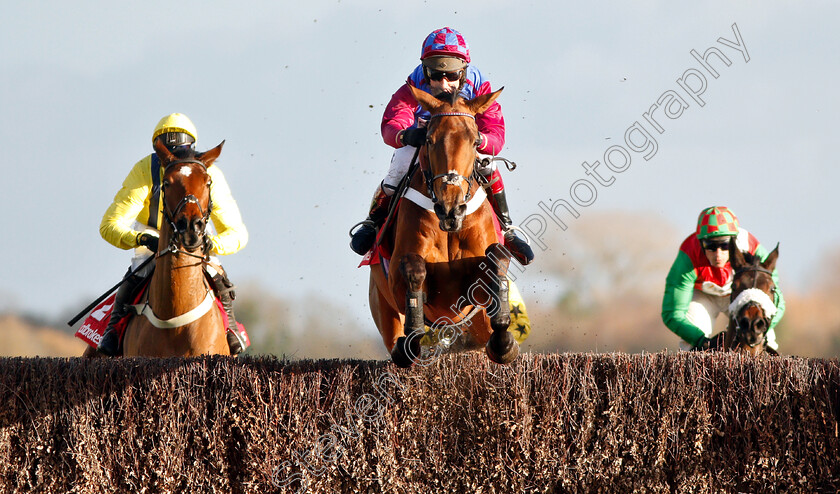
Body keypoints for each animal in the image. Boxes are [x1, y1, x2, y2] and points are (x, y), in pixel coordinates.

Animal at [370, 86, 520, 366]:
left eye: (475, 141)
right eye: (429, 140)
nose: (451, 208)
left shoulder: (474, 297)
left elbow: (496, 260)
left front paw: (505, 342)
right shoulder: (397, 279)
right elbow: (412, 270)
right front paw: (410, 337)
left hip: (477, 322)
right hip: (383, 308)